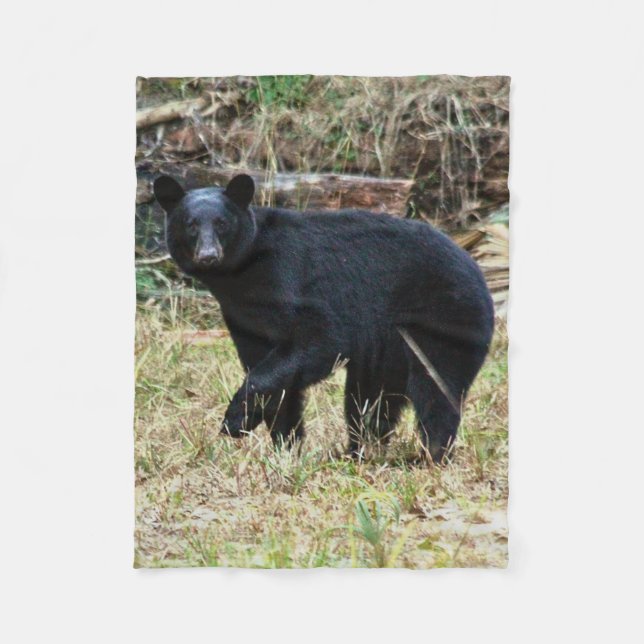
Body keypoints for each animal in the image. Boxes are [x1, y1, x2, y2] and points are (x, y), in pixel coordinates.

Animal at [153, 173, 495, 463]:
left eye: (222, 223)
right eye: (190, 225)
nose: (208, 256)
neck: (242, 278)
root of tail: (476, 269)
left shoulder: (288, 280)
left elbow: (321, 339)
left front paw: (236, 419)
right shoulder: (244, 319)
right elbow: (274, 374)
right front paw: (285, 447)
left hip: (444, 317)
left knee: (436, 388)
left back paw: (430, 456)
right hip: (389, 349)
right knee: (370, 399)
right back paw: (359, 452)